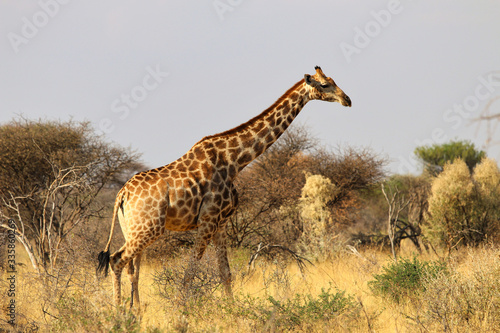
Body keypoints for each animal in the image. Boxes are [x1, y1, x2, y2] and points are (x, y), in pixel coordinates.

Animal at [95, 65, 350, 308]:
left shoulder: (222, 223)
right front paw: (181, 311)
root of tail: (121, 194)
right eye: (325, 84)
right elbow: (190, 273)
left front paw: (232, 310)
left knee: (132, 268)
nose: (347, 99)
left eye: (334, 80)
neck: (235, 161)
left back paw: (135, 310)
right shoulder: (208, 220)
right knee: (117, 260)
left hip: (133, 228)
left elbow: (225, 272)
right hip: (150, 228)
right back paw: (119, 312)